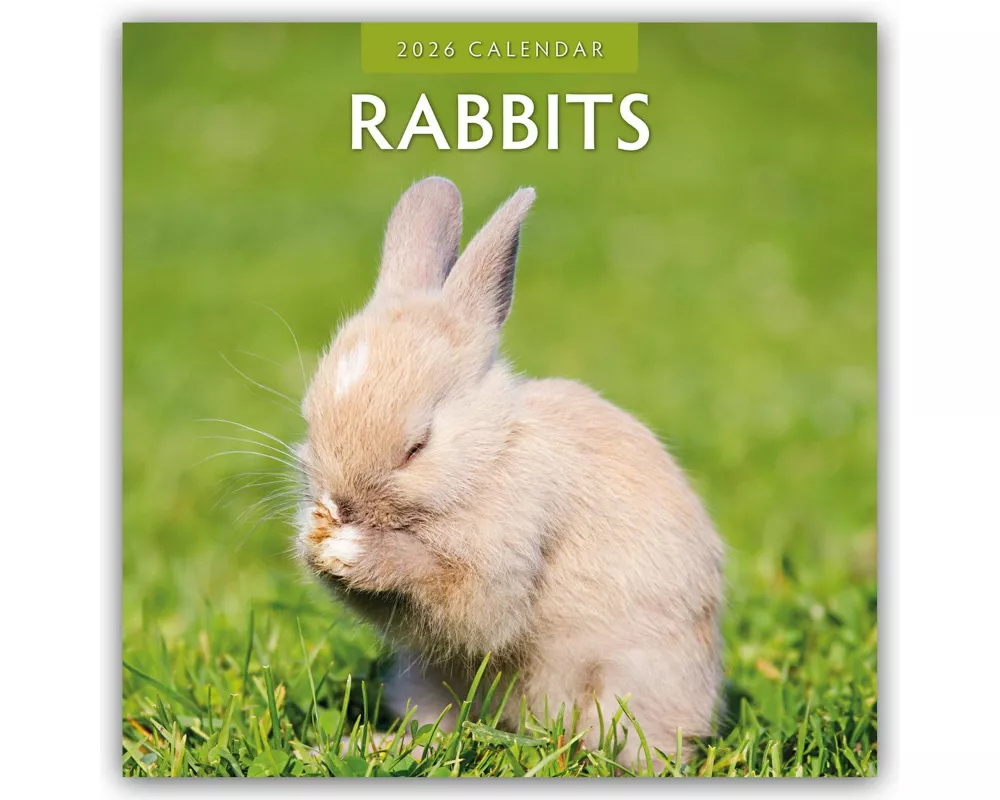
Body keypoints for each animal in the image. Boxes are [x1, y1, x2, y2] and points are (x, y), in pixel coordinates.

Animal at [294, 176, 725, 770]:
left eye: (417, 446)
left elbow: (469, 603)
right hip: (425, 680)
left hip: (633, 685)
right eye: (308, 419)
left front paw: (356, 551)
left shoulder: (511, 548)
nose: (342, 505)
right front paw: (313, 540)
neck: (489, 455)